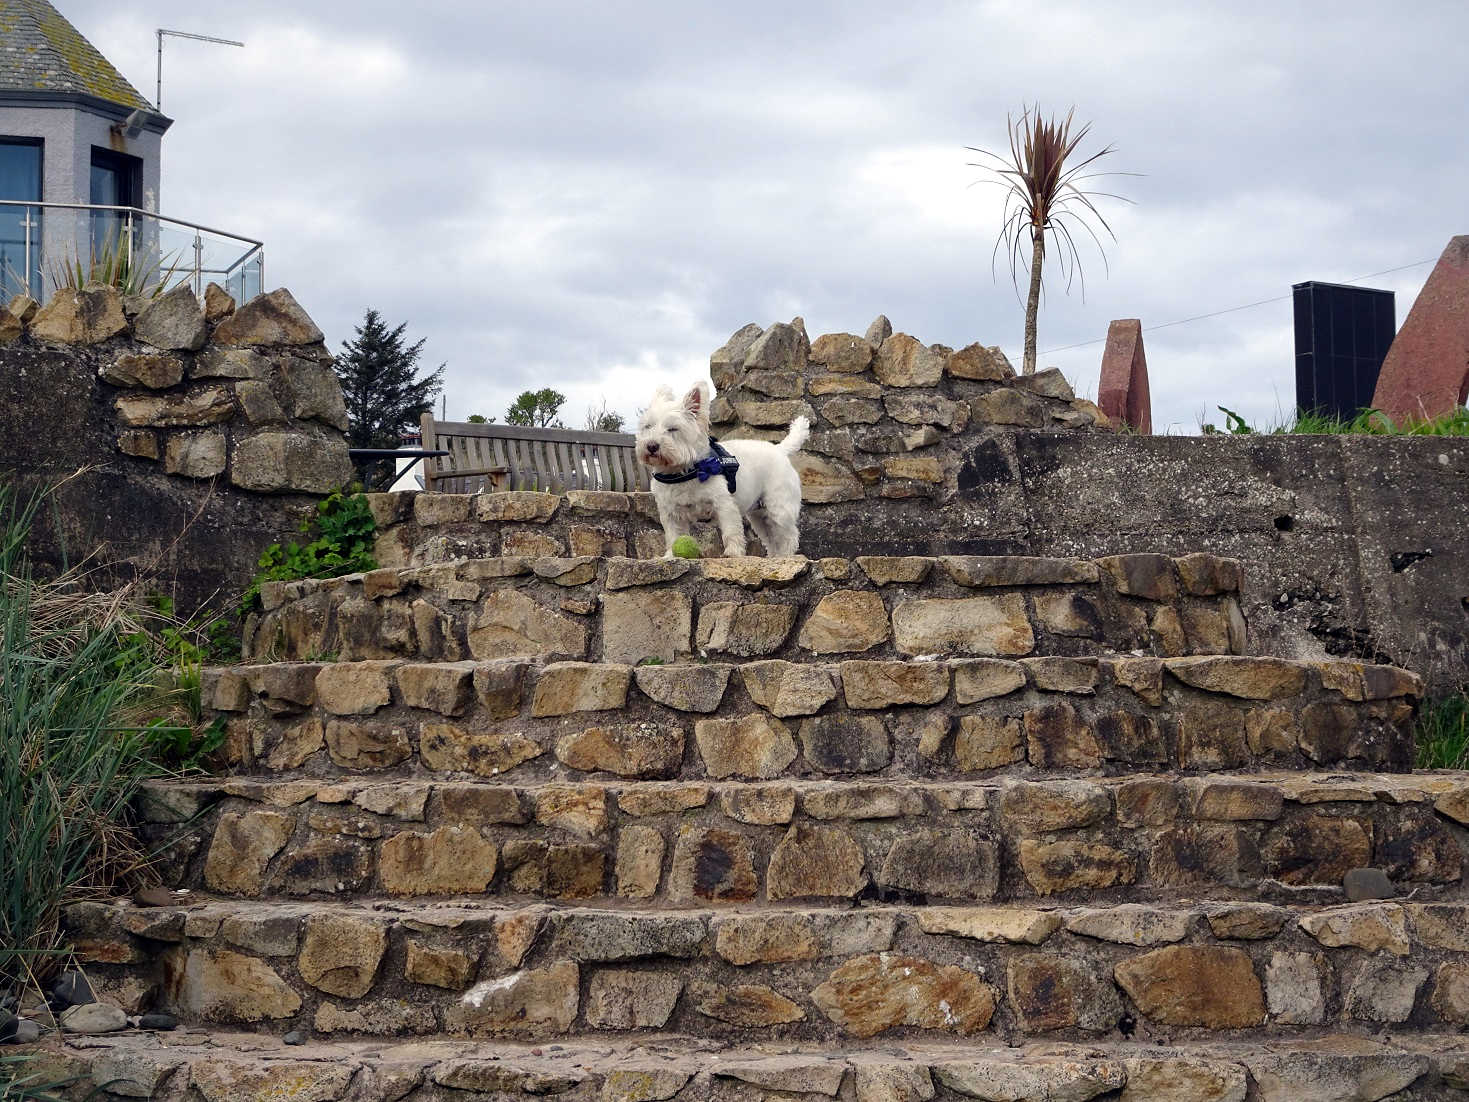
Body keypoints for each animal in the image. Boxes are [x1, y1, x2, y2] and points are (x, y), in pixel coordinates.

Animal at [634, 384, 810, 561]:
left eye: (672, 429)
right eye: (648, 427)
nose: (651, 446)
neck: (683, 472)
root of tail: (780, 449)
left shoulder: (724, 503)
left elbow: (731, 530)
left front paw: (733, 553)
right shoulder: (670, 513)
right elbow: (673, 535)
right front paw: (670, 556)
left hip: (779, 507)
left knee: (788, 535)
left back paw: (786, 556)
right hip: (759, 515)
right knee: (770, 538)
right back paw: (774, 557)